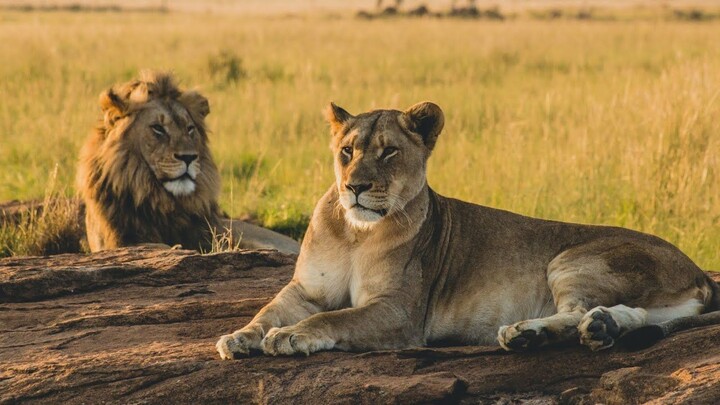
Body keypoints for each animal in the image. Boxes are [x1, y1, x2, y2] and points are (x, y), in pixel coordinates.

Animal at [216, 101, 719, 358]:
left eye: (389, 152)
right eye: (347, 151)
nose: (355, 187)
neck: (356, 233)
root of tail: (699, 271)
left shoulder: (400, 312)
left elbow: (334, 318)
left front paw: (289, 337)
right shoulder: (306, 289)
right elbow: (269, 310)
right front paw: (240, 337)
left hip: (572, 258)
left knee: (577, 310)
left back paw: (528, 332)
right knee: (630, 315)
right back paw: (596, 328)